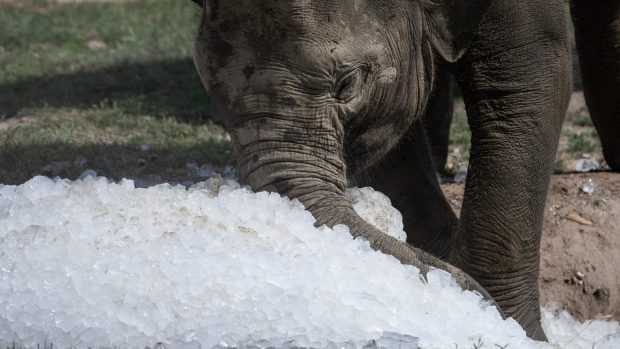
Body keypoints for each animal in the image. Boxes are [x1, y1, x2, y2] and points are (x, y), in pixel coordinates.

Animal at [190, 0, 576, 338]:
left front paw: (518, 332)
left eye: (348, 85)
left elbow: (522, 83)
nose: (464, 286)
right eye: (212, 96)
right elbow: (392, 143)